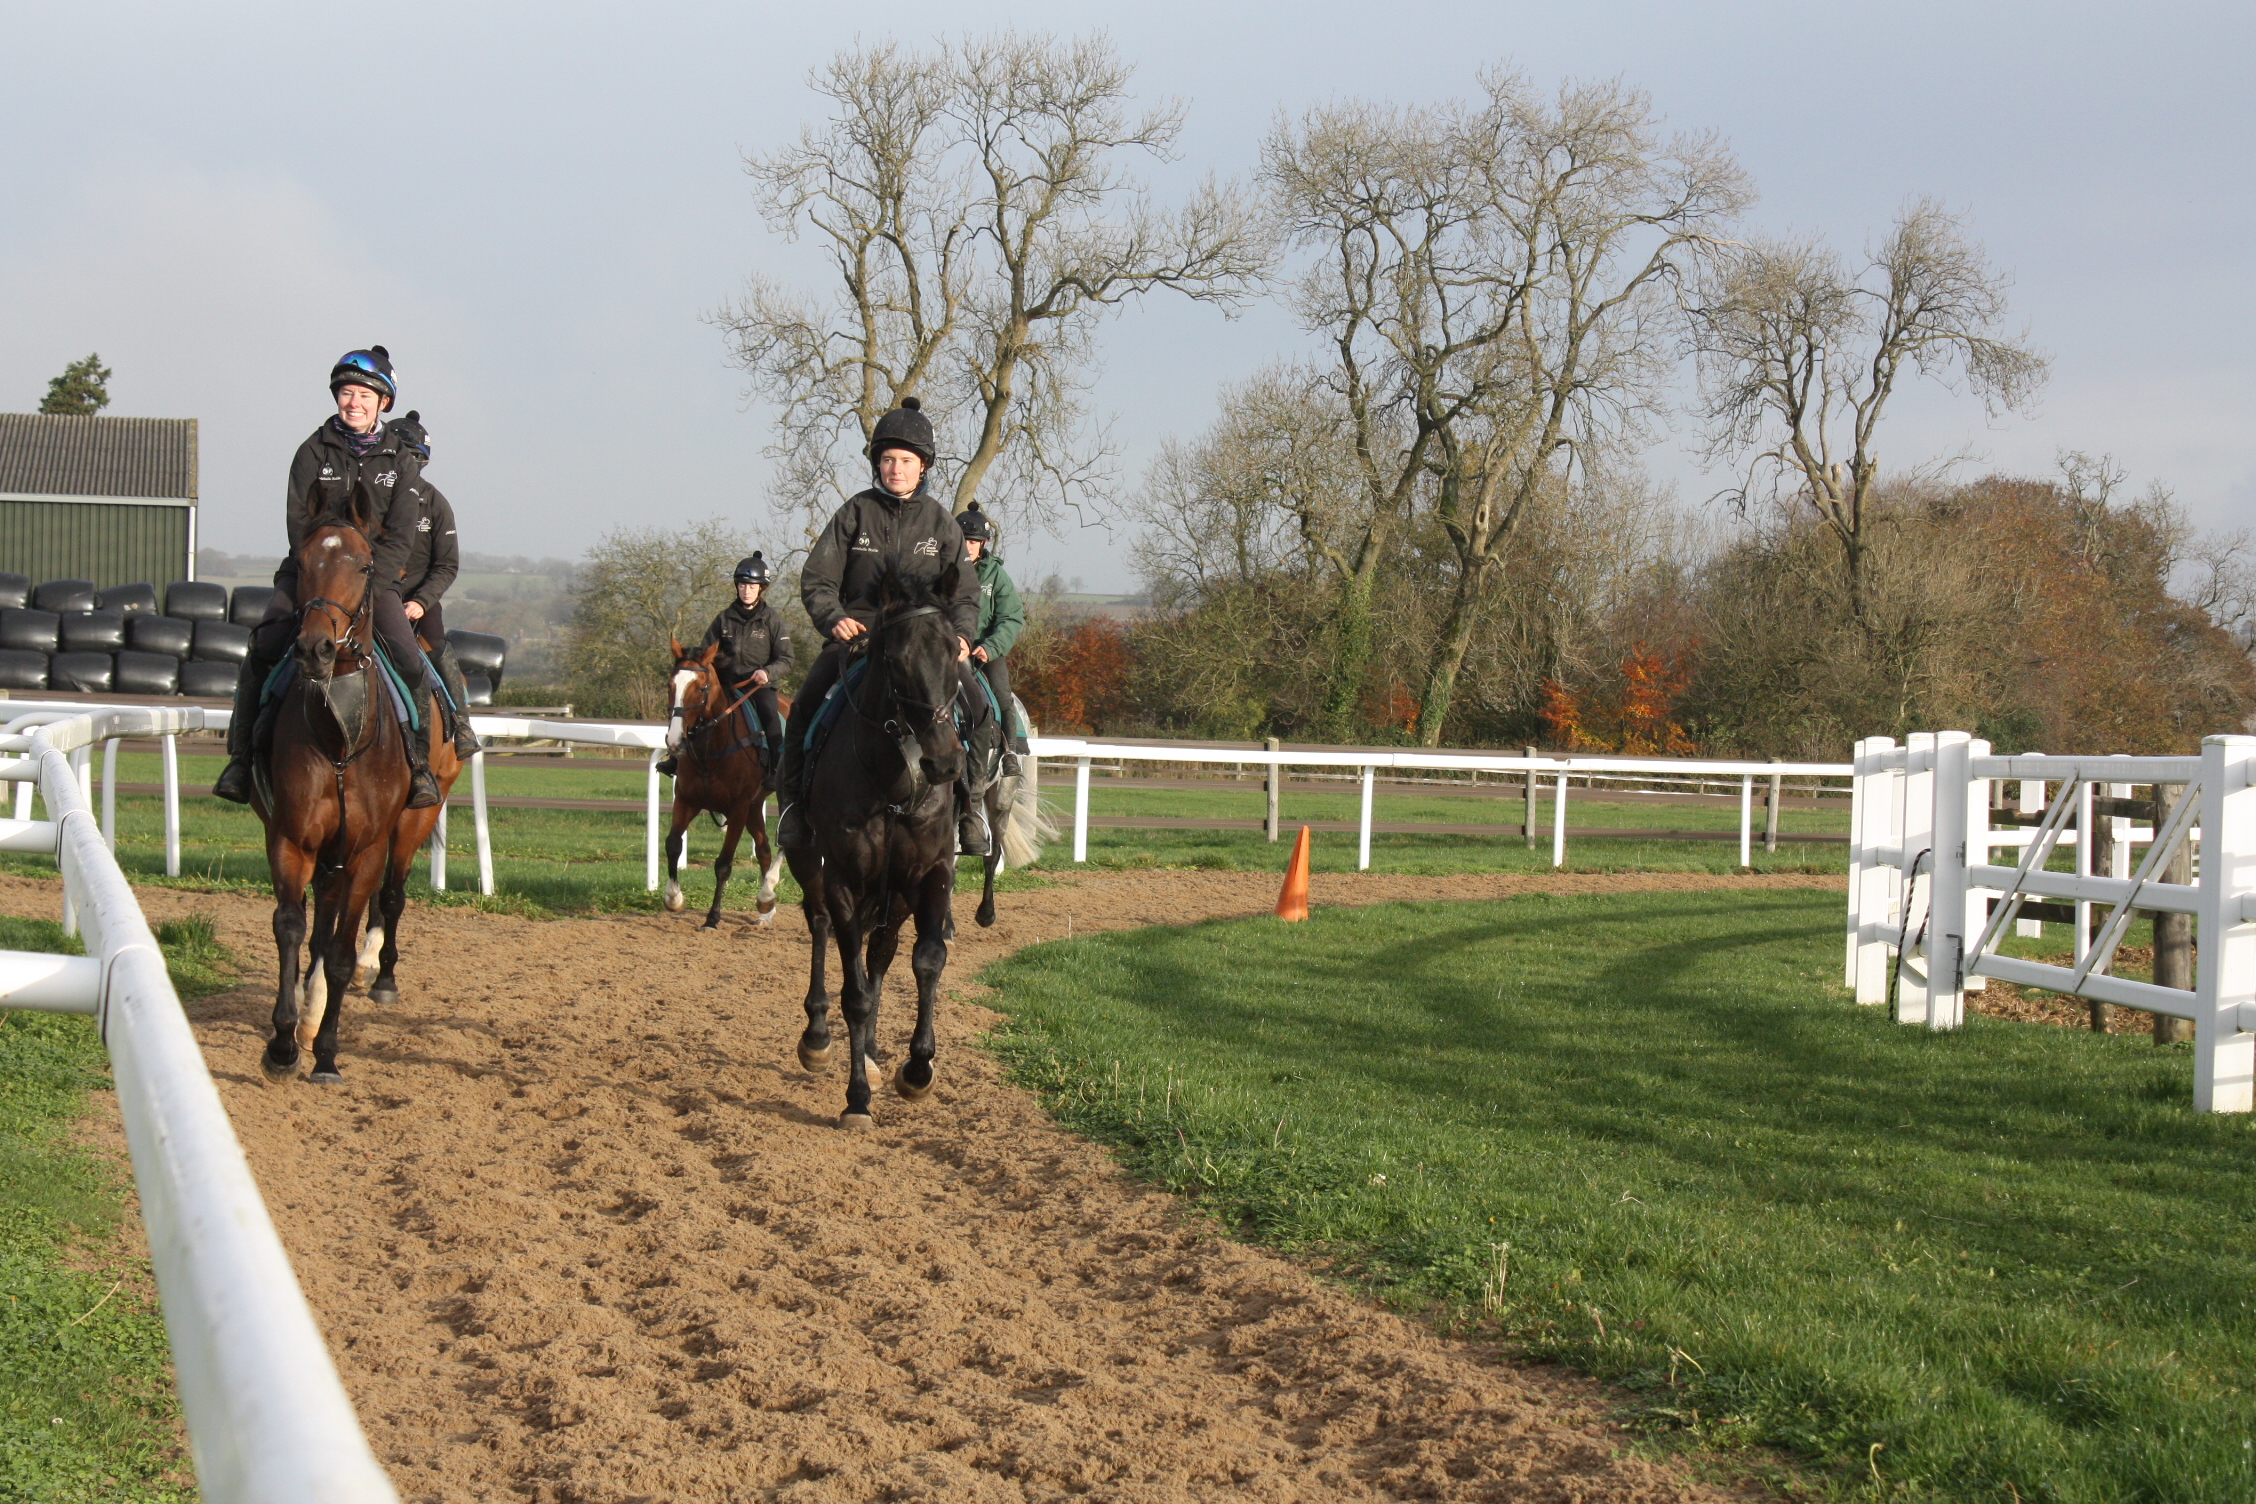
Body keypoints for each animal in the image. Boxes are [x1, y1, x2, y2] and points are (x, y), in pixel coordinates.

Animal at [253, 489, 460, 1086]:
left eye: (366, 565)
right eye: (301, 562)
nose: (316, 648)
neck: (341, 736)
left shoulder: (367, 847)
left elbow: (344, 950)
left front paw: (326, 1053)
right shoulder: (292, 838)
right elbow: (291, 927)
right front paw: (285, 1041)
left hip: (412, 821)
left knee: (390, 897)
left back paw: (380, 976)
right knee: (321, 921)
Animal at [658, 640, 789, 933]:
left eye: (701, 688)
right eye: (670, 685)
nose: (674, 740)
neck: (711, 750)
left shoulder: (737, 808)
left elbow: (723, 864)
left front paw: (712, 917)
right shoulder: (686, 800)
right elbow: (672, 844)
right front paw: (673, 898)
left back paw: (768, 891)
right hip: (755, 803)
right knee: (763, 848)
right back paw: (766, 909)